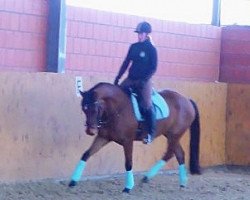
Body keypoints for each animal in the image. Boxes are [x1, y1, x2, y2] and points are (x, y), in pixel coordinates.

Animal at [69, 82, 201, 193]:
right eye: (84, 109)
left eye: (96, 108)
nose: (90, 131)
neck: (117, 108)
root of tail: (187, 100)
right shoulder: (103, 137)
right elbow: (86, 154)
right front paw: (73, 181)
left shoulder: (127, 141)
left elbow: (128, 163)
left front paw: (128, 187)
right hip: (170, 135)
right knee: (176, 154)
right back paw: (174, 182)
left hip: (174, 135)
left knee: (173, 154)